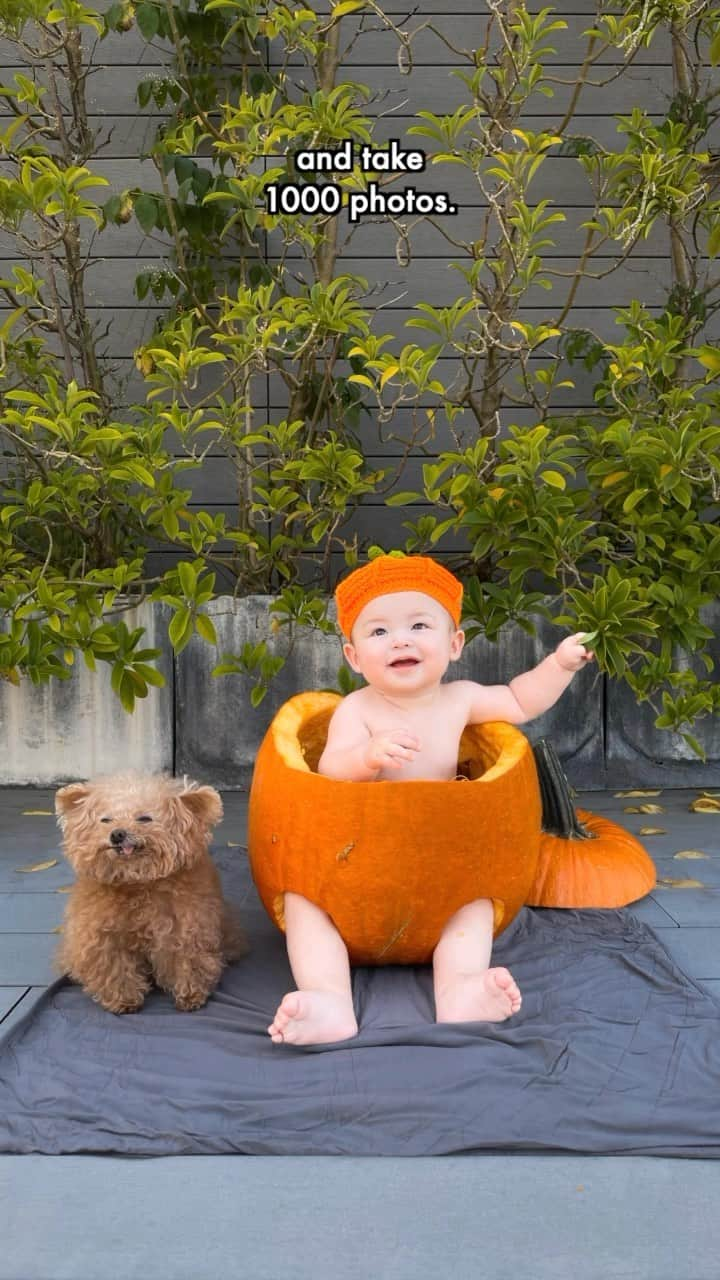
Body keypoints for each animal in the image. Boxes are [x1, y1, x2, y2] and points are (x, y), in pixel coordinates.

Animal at [54, 762, 248, 1013]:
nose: (117, 834)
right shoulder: (103, 938)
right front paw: (123, 1000)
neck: (137, 885)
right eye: (105, 820)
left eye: (144, 818)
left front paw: (190, 996)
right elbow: (114, 968)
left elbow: (187, 962)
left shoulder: (184, 930)